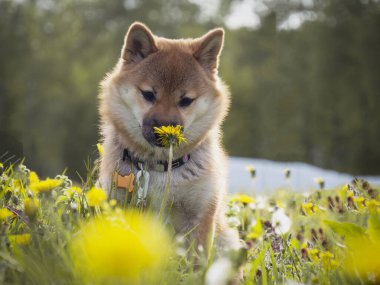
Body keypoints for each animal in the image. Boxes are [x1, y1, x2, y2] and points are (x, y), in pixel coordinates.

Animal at [98, 22, 240, 251]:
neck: (158, 168)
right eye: (148, 94)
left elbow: (197, 258)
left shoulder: (200, 215)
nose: (164, 130)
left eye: (186, 100)